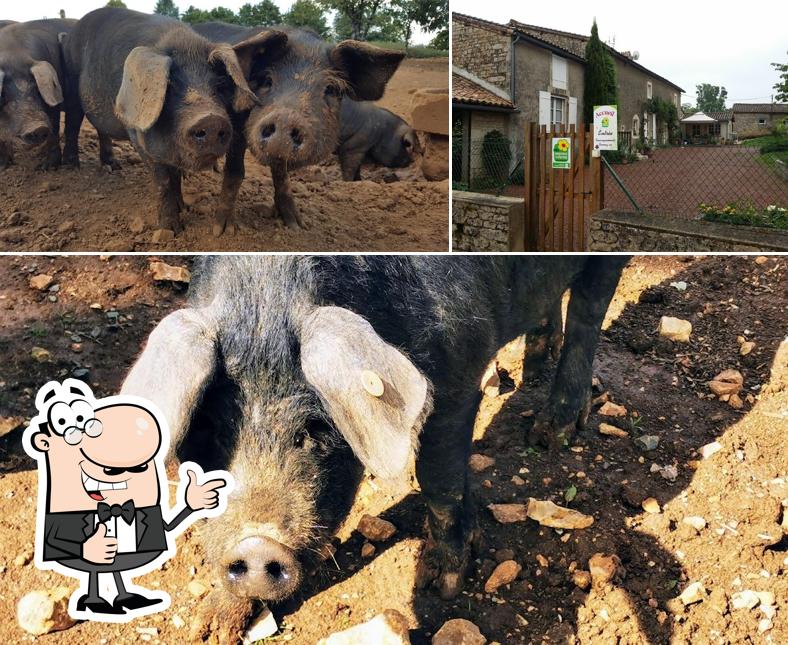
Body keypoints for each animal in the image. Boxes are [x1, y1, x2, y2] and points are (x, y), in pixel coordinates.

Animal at [0, 19, 76, 170]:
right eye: (4, 93)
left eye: (36, 88)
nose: (38, 127)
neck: (14, 53)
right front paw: (3, 167)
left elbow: (54, 125)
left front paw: (46, 168)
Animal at [62, 7, 284, 234]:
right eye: (170, 85)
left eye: (220, 86)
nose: (211, 120)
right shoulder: (137, 133)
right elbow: (163, 180)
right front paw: (170, 231)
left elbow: (176, 172)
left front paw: (182, 207)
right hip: (69, 81)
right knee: (72, 122)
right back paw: (72, 167)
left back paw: (113, 167)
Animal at [123, 254, 628, 640]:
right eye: (211, 431)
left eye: (313, 430)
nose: (257, 545)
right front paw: (209, 627)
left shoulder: (456, 378)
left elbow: (439, 479)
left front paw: (444, 585)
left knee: (589, 311)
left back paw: (551, 433)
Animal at [189, 22, 400, 231]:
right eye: (267, 80)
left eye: (331, 89)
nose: (286, 118)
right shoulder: (234, 124)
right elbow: (235, 172)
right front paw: (223, 230)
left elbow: (282, 176)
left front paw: (296, 225)